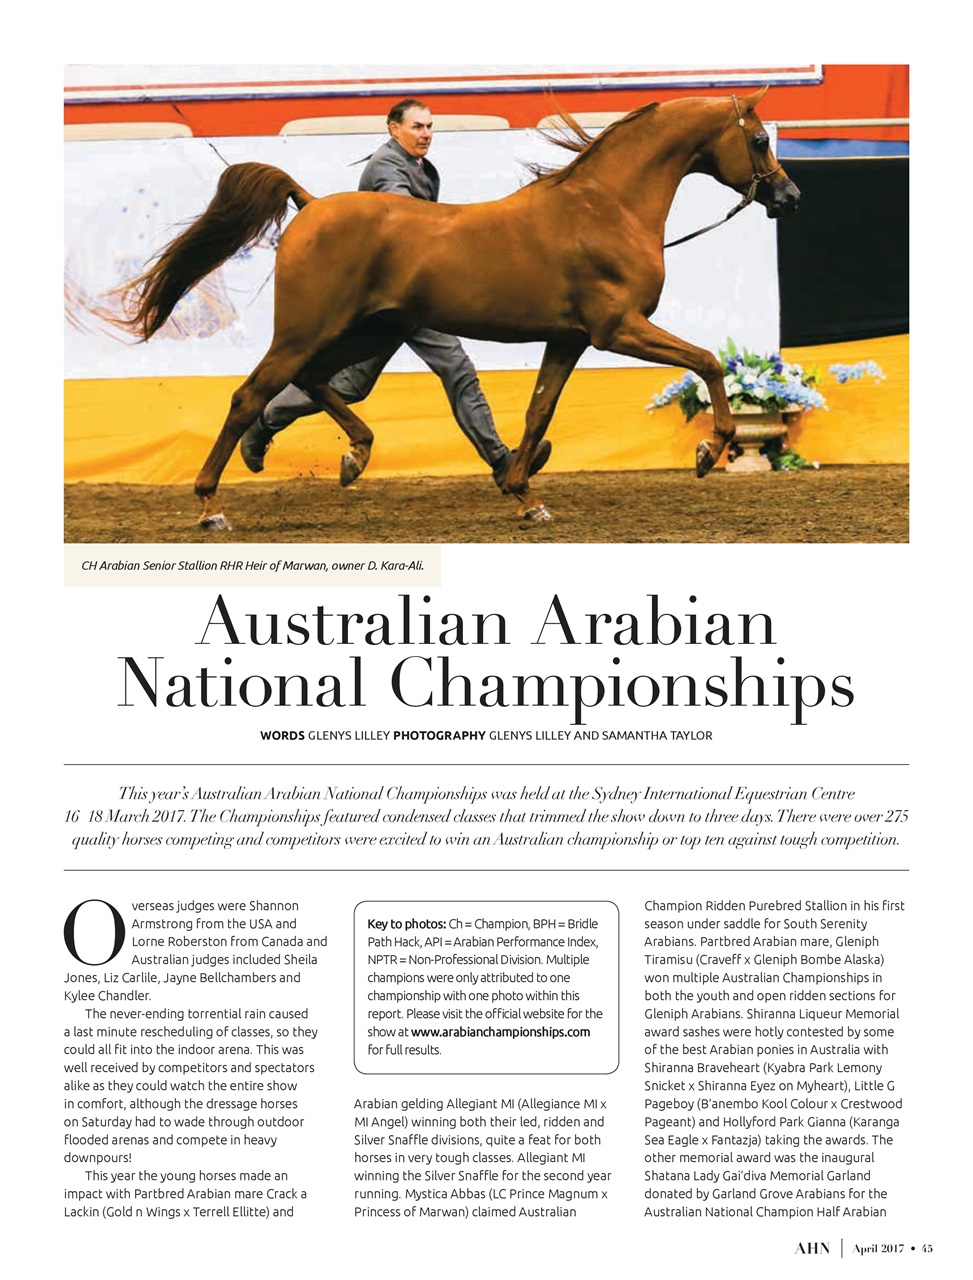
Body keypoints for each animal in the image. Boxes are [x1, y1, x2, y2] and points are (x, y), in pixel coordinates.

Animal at [125, 88, 799, 530]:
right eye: (760, 138)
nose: (789, 196)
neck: (605, 207)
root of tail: (309, 205)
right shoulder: (618, 328)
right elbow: (706, 361)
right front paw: (711, 452)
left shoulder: (570, 338)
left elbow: (538, 412)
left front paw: (524, 493)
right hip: (308, 330)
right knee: (251, 396)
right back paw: (212, 506)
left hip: (359, 332)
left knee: (312, 383)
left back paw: (353, 454)